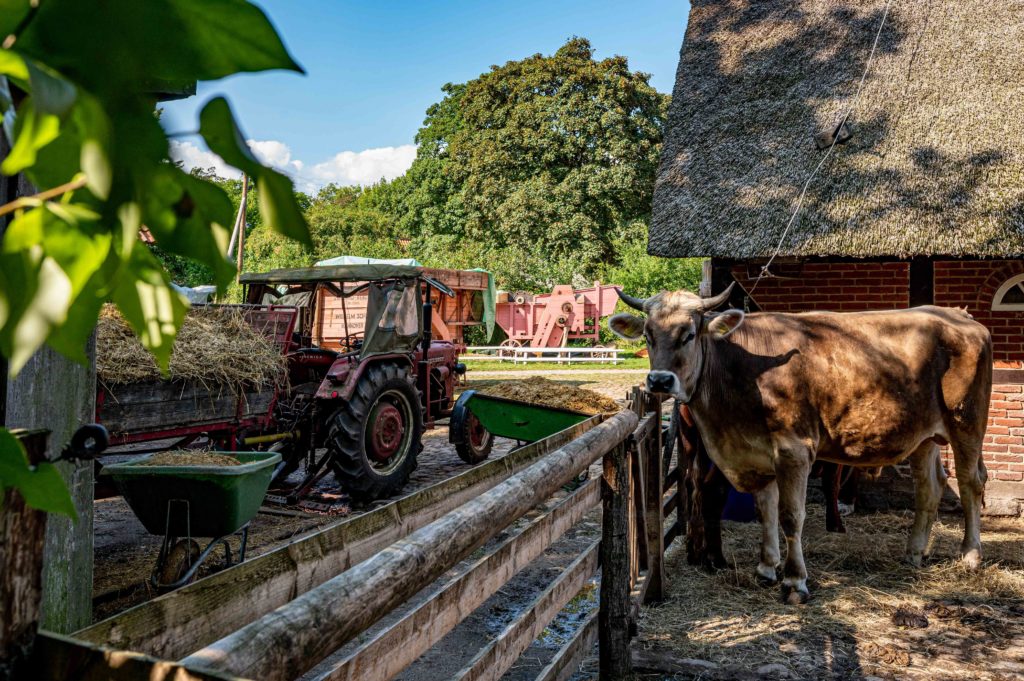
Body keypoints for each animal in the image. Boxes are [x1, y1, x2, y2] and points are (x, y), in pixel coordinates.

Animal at [614, 284, 991, 602]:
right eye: (648, 335)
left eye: (689, 334)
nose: (659, 381)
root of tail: (960, 315)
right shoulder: (756, 453)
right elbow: (764, 510)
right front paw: (766, 568)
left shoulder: (793, 450)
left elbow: (791, 516)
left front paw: (795, 581)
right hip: (923, 436)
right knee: (930, 488)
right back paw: (914, 553)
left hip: (967, 423)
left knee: (971, 483)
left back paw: (970, 555)